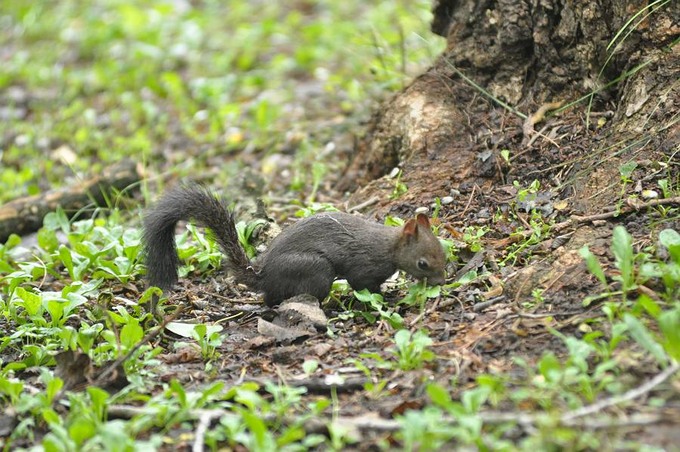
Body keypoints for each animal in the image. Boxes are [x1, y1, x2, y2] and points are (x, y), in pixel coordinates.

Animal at [143, 185, 446, 308]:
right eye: (422, 263)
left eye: (443, 252)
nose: (442, 282)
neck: (389, 246)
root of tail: (263, 275)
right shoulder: (364, 267)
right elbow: (362, 285)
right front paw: (386, 297)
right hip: (316, 270)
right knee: (275, 299)